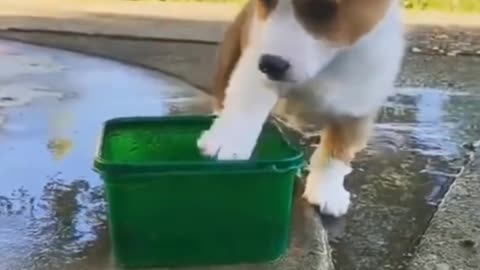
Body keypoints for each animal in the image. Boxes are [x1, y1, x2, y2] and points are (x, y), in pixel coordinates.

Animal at [197, 0, 404, 216]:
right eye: (265, 3)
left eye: (323, 8)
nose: (270, 63)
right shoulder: (256, 61)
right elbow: (247, 100)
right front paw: (227, 139)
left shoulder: (356, 105)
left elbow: (337, 151)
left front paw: (327, 190)